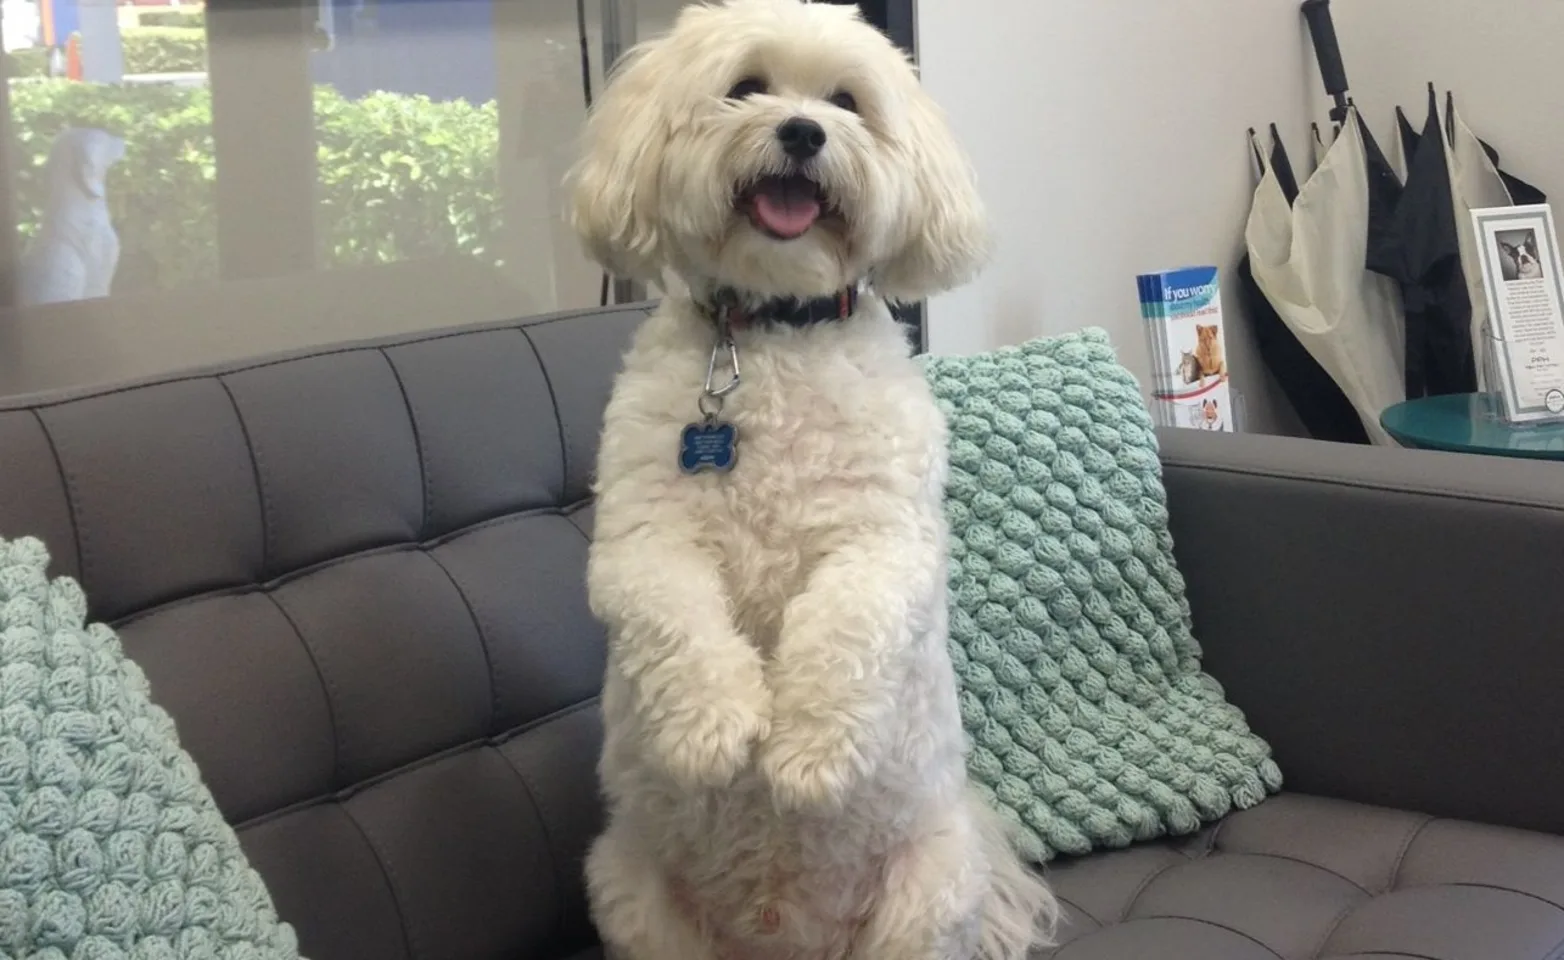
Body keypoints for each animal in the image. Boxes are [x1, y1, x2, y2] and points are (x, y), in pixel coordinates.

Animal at [569, 1, 1057, 960]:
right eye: (746, 87)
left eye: (845, 102)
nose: (801, 132)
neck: (770, 333)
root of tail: (783, 939)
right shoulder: (641, 532)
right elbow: (669, 610)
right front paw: (712, 730)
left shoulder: (888, 538)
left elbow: (846, 621)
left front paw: (809, 755)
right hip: (632, 891)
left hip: (925, 894)